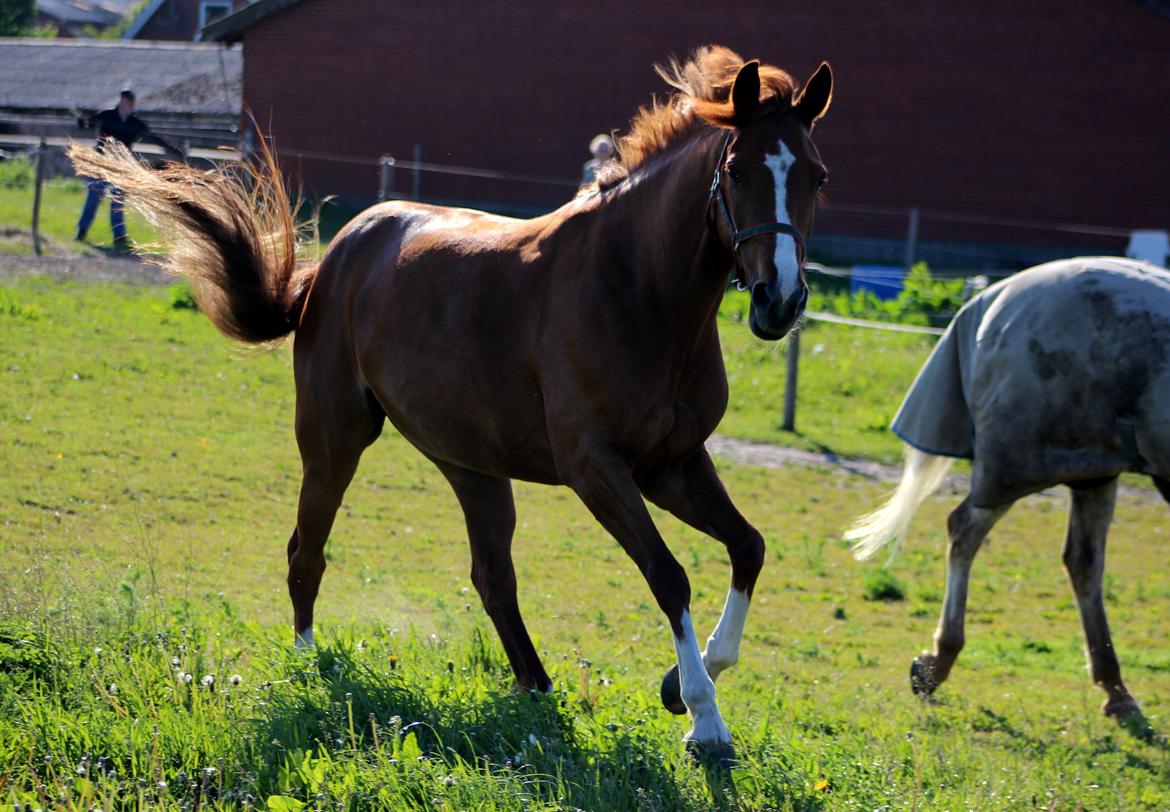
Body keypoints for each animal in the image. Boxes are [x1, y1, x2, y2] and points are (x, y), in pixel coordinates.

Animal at [71, 45, 833, 754]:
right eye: (737, 171)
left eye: (817, 176)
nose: (780, 301)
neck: (638, 291)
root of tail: (340, 253)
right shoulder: (597, 467)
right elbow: (669, 575)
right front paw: (704, 722)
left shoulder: (671, 463)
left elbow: (749, 546)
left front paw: (682, 684)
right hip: (334, 438)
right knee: (306, 551)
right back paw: (309, 665)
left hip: (473, 466)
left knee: (492, 576)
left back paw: (537, 690)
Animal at [847, 256, 1170, 728]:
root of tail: (991, 297)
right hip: (1026, 463)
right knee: (966, 530)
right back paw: (939, 661)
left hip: (1094, 466)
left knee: (1083, 562)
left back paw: (1116, 689)